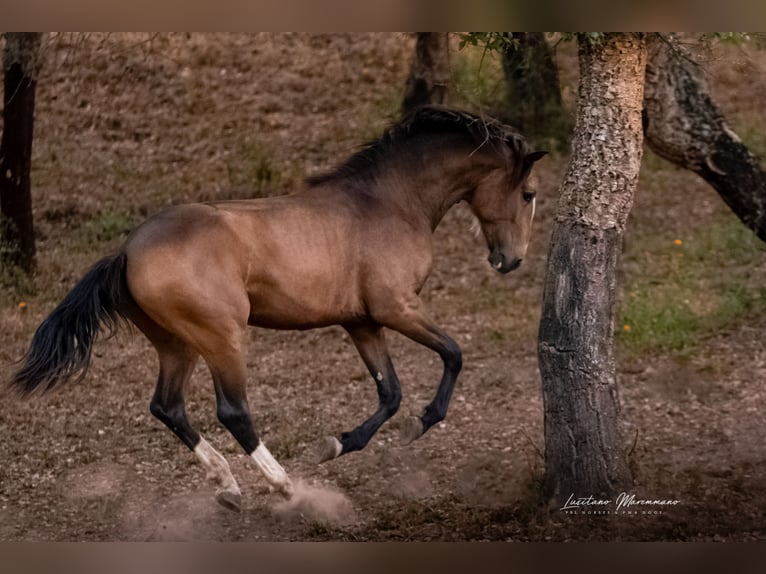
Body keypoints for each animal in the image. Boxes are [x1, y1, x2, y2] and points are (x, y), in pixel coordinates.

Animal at [10, 107, 544, 512]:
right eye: (529, 193)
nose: (511, 259)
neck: (390, 203)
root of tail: (127, 251)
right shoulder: (397, 308)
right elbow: (453, 355)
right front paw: (418, 424)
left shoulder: (362, 322)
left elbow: (389, 392)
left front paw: (338, 444)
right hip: (222, 338)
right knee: (233, 411)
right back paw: (286, 486)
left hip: (177, 344)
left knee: (167, 406)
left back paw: (228, 486)